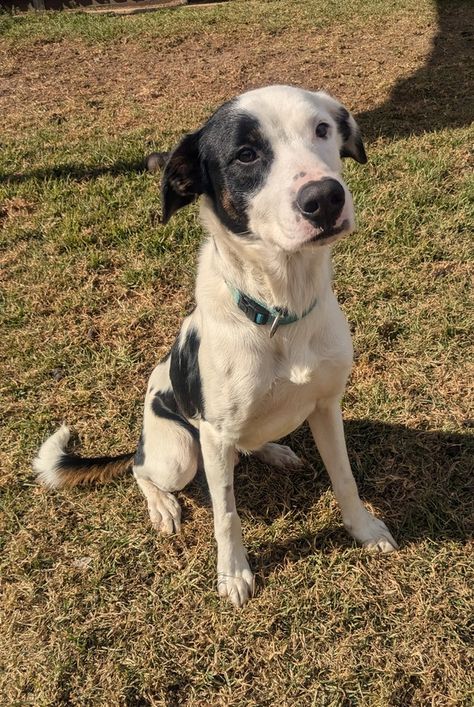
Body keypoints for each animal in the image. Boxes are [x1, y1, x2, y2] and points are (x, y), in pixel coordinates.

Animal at [33, 84, 398, 608]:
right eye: (245, 155)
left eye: (323, 129)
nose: (325, 198)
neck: (279, 307)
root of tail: (141, 437)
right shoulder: (215, 436)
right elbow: (227, 515)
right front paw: (233, 574)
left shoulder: (327, 406)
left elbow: (344, 479)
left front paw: (364, 530)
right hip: (180, 454)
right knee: (142, 470)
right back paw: (163, 505)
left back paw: (273, 450)